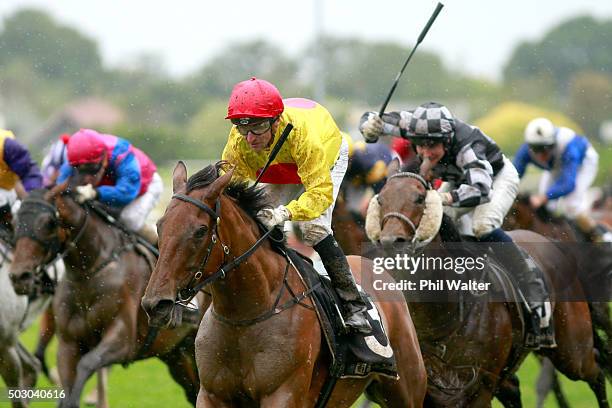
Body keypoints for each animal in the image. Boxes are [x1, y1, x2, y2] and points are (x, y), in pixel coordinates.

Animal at [9, 186, 204, 408]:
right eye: (14, 222)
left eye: (49, 222)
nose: (19, 276)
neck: (89, 272)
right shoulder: (68, 343)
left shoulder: (122, 340)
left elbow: (87, 364)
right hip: (177, 354)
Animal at [142, 163, 428, 408]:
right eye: (160, 225)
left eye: (200, 231)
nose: (156, 303)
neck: (245, 315)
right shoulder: (212, 395)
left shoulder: (282, 394)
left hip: (406, 391)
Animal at [368, 173, 608, 408]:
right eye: (381, 200)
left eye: (419, 198)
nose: (390, 242)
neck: (443, 315)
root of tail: (554, 244)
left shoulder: (479, 387)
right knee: (514, 389)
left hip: (572, 351)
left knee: (596, 371)